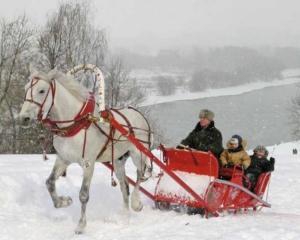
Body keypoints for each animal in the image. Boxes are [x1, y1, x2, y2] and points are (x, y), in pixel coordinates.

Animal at [18, 68, 154, 233]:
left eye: (42, 90)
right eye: (26, 89)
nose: (23, 118)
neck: (75, 123)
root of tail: (139, 114)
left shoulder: (89, 163)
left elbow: (83, 194)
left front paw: (81, 225)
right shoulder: (63, 158)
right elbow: (49, 183)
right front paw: (64, 201)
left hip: (138, 154)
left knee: (140, 175)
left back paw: (136, 203)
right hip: (118, 160)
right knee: (125, 186)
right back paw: (125, 217)